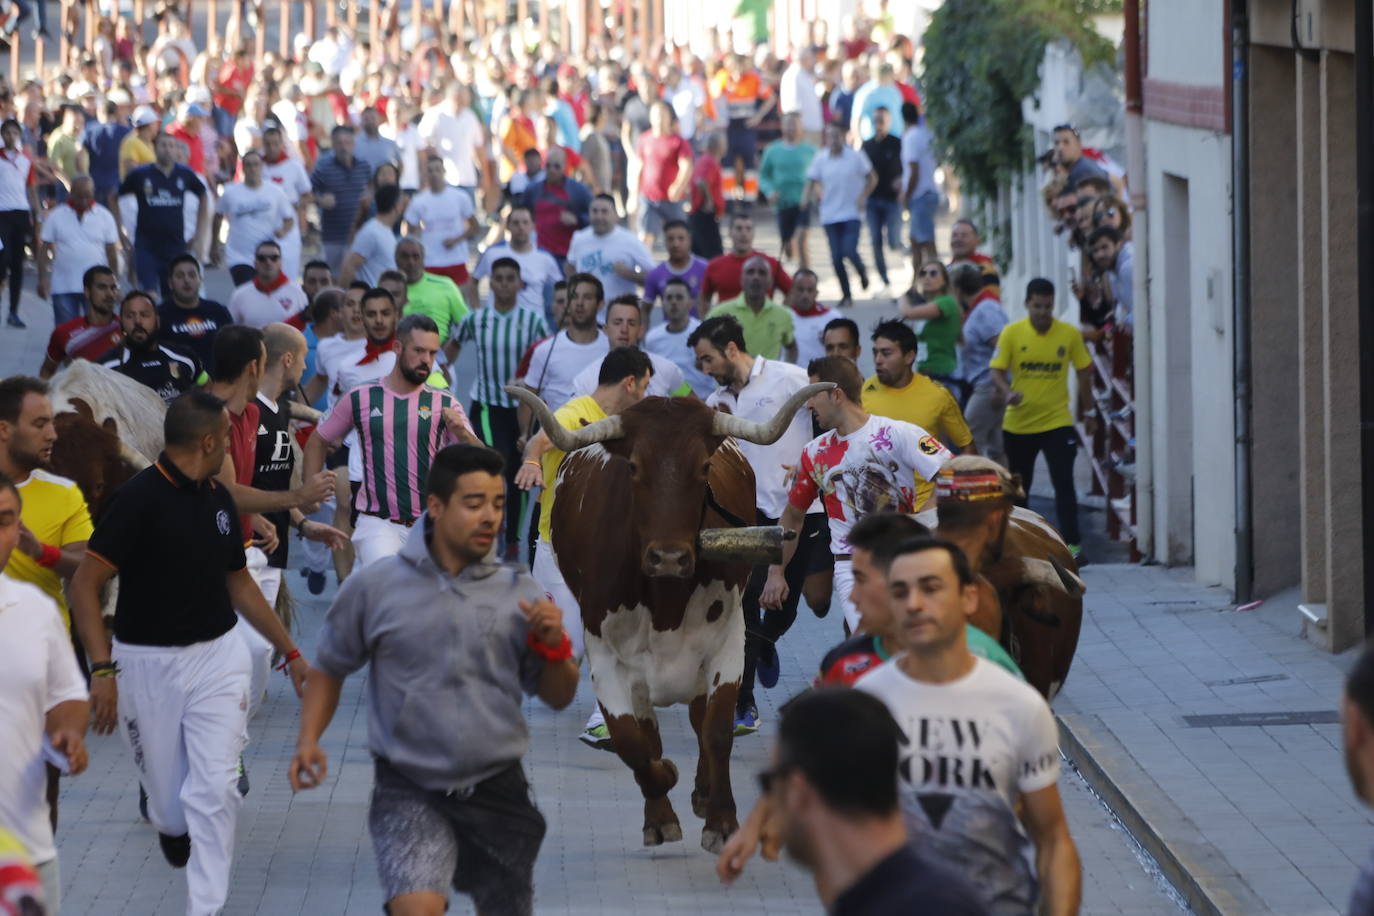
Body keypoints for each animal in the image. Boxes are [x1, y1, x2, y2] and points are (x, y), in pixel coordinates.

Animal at [505, 384, 824, 851]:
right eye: (634, 466)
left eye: (704, 466)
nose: (669, 557)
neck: (666, 603)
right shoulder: (606, 656)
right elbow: (632, 743)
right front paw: (661, 807)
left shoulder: (728, 643)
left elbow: (716, 730)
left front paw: (721, 820)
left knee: (698, 720)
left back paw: (704, 792)